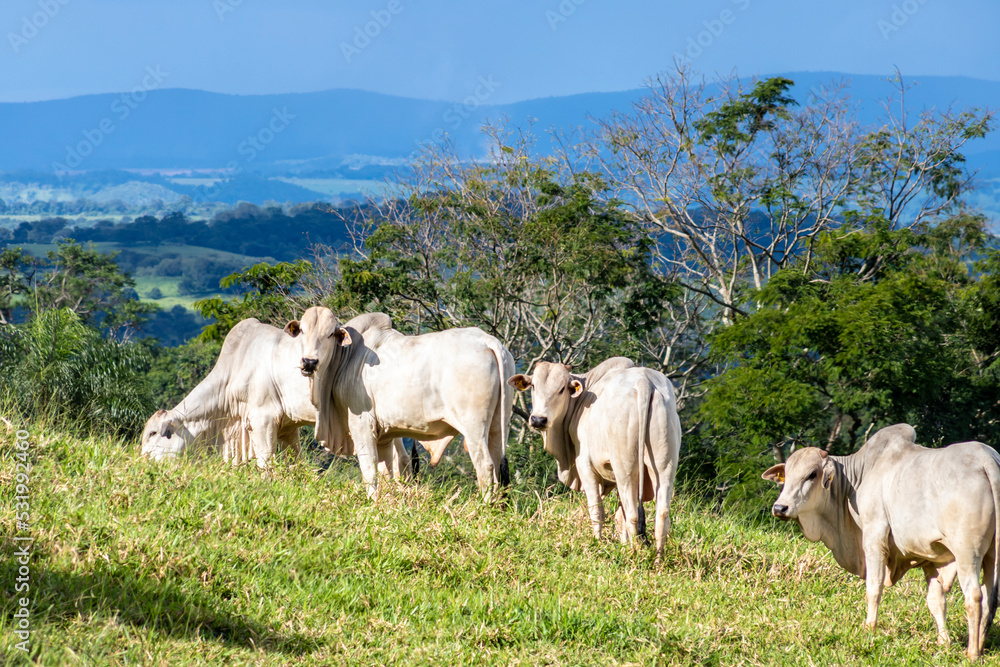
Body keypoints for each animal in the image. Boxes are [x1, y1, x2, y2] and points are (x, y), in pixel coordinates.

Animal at [141, 308, 413, 480]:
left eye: (153, 433)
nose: (139, 462)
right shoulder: (287, 427)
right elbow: (296, 462)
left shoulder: (263, 419)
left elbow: (265, 463)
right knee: (402, 459)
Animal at [291, 311, 515, 501]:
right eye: (302, 331)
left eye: (330, 334)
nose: (309, 362)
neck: (347, 357)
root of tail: (487, 340)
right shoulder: (383, 436)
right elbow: (387, 471)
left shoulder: (361, 425)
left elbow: (370, 471)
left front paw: (372, 502)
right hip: (498, 425)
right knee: (498, 467)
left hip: (474, 426)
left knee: (485, 466)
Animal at [507, 357, 682, 560]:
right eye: (533, 386)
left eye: (561, 389)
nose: (538, 420)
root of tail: (644, 382)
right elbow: (619, 517)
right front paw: (622, 546)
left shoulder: (585, 466)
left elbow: (597, 511)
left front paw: (597, 545)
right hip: (664, 465)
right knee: (661, 514)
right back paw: (658, 560)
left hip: (625, 468)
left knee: (633, 514)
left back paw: (634, 556)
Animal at [762, 424, 1000, 660]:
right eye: (787, 475)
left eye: (812, 474)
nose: (780, 507)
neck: (859, 475)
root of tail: (986, 459)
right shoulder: (931, 556)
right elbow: (936, 600)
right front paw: (943, 643)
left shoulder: (873, 535)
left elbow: (873, 586)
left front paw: (869, 629)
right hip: (991, 555)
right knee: (989, 598)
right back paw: (979, 646)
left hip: (967, 552)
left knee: (974, 595)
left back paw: (972, 653)